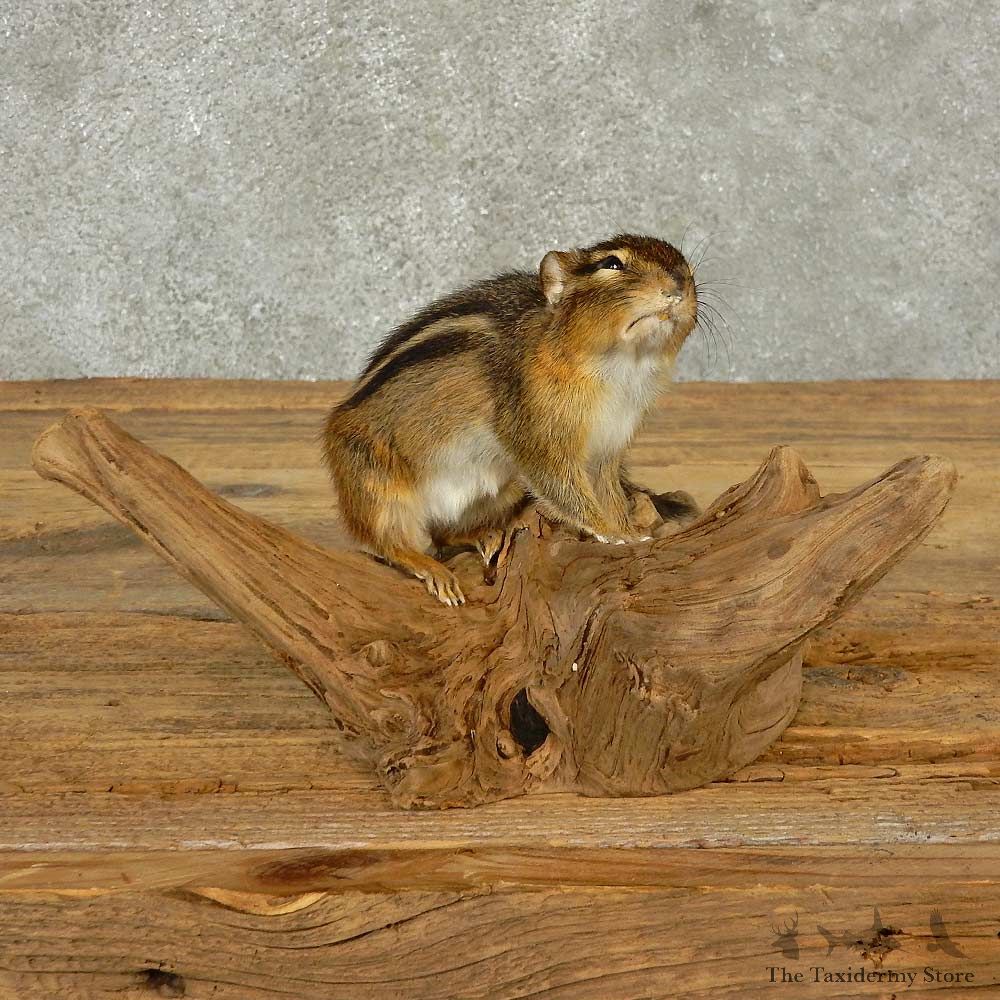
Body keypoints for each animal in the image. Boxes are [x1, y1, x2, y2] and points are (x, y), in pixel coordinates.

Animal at [322, 233, 698, 606]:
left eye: (688, 267)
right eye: (612, 263)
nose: (678, 285)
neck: (623, 366)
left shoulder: (609, 446)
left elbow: (610, 492)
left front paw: (628, 530)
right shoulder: (536, 432)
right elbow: (563, 485)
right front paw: (609, 532)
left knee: (444, 534)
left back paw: (484, 536)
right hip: (375, 483)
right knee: (389, 542)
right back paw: (433, 570)